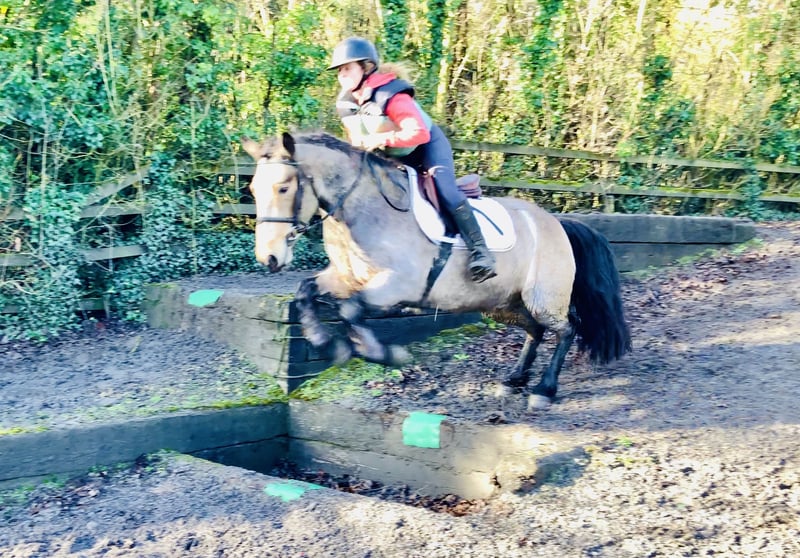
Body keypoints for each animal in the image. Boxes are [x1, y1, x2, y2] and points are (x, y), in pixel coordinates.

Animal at [242, 131, 632, 409]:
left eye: (284, 187)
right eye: (253, 189)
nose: (269, 258)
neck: (360, 209)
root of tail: (557, 222)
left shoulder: (398, 285)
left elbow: (351, 310)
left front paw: (383, 354)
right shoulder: (346, 278)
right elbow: (306, 292)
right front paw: (325, 341)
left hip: (542, 297)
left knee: (567, 329)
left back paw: (544, 389)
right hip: (503, 304)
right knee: (535, 331)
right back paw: (514, 380)